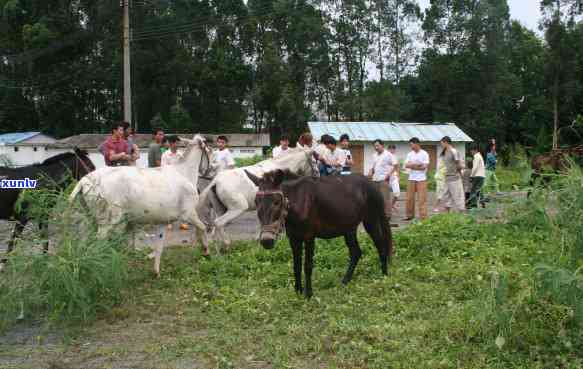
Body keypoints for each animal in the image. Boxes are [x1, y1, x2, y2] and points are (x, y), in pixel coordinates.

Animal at [70, 134, 210, 274]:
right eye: (209, 149)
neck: (184, 172)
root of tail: (83, 181)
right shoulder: (189, 214)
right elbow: (202, 227)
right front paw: (206, 250)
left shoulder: (163, 221)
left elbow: (159, 244)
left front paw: (156, 271)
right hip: (108, 221)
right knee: (100, 241)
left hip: (92, 218)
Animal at [246, 168, 392, 298]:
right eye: (256, 202)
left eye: (277, 202)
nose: (266, 241)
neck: (299, 201)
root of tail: (371, 182)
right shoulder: (293, 238)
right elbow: (296, 265)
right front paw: (297, 292)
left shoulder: (309, 237)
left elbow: (307, 266)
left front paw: (308, 294)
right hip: (348, 228)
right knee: (356, 252)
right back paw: (345, 281)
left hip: (371, 220)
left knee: (380, 245)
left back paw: (384, 275)